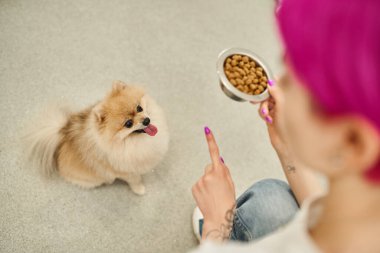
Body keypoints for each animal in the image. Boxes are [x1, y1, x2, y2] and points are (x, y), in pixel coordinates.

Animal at [24, 81, 169, 196]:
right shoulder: (125, 172)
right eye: (128, 123)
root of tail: (63, 133)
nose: (146, 120)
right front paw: (139, 190)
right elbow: (135, 181)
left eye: (139, 108)